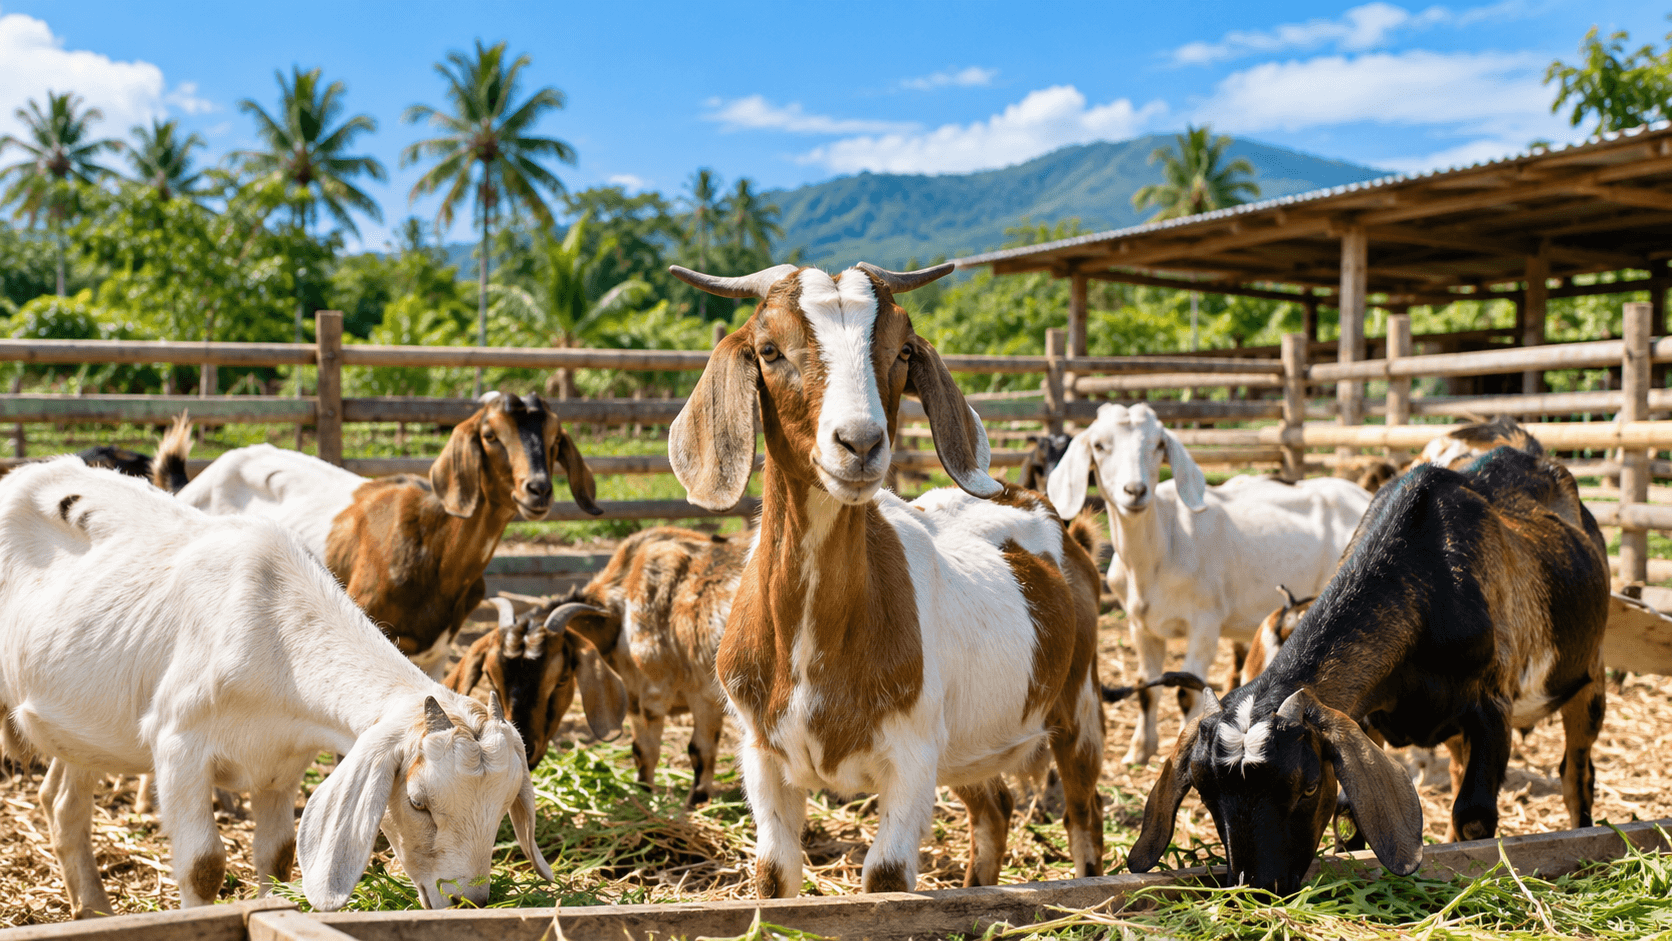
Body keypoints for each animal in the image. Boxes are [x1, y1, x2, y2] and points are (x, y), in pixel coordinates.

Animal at [0, 459, 552, 915]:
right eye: (417, 802)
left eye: (504, 806)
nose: (469, 901)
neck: (273, 635)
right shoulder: (179, 746)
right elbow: (203, 866)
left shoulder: (280, 764)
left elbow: (278, 857)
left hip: (81, 725)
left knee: (62, 803)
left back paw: (93, 910)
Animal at [668, 261, 1105, 897]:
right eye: (769, 350)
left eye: (902, 351)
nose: (861, 443)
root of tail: (1044, 511)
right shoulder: (762, 755)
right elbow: (774, 873)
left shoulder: (912, 757)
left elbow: (887, 879)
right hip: (967, 743)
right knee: (993, 809)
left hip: (1078, 703)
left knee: (1083, 813)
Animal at [1048, 403, 1370, 765]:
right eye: (1100, 446)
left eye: (1157, 445)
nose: (1135, 491)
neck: (1163, 543)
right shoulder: (1140, 626)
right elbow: (1147, 689)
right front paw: (1138, 751)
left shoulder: (1205, 622)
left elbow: (1189, 693)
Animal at [1128, 444, 1609, 894]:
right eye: (1204, 790)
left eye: (1308, 786)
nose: (1261, 886)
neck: (1431, 577)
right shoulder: (1366, 717)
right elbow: (1355, 813)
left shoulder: (1493, 706)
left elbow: (1474, 815)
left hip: (1590, 679)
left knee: (1576, 774)